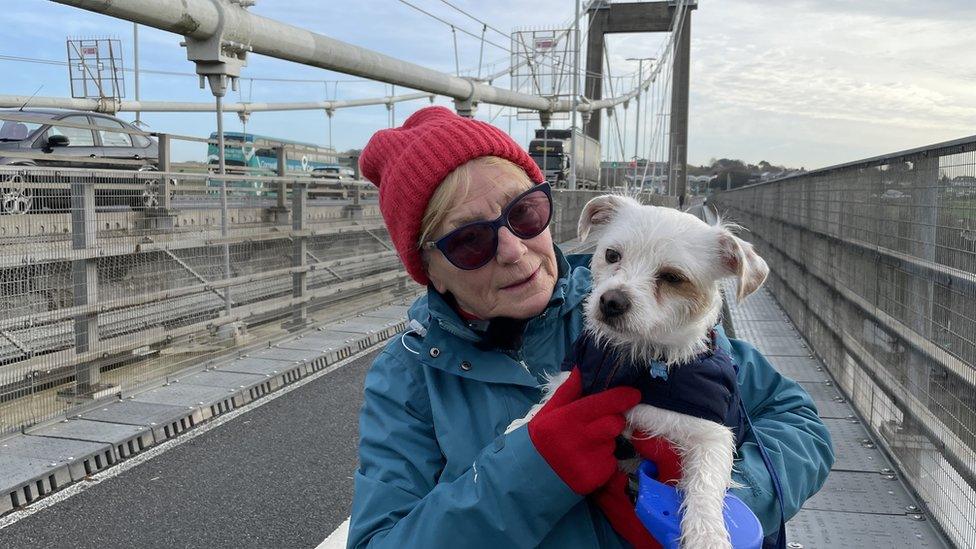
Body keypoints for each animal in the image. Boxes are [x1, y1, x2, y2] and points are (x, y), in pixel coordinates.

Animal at [508, 195, 768, 544]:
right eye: (611, 255)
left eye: (672, 278)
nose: (611, 301)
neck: (631, 357)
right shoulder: (573, 375)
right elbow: (550, 401)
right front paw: (525, 423)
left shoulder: (713, 435)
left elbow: (705, 484)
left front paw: (707, 535)